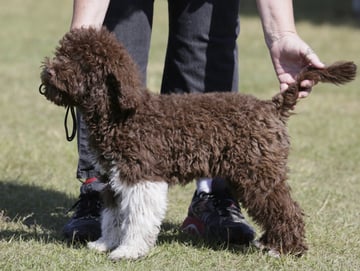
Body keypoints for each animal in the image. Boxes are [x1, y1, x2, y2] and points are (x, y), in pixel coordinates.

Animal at [39, 28, 354, 262]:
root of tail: (271, 106)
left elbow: (138, 219)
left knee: (285, 208)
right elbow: (114, 215)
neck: (119, 114)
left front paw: (128, 251)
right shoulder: (113, 177)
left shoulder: (142, 176)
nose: (48, 72)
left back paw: (285, 248)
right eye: (62, 53)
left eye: (81, 61)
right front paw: (105, 244)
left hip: (258, 173)